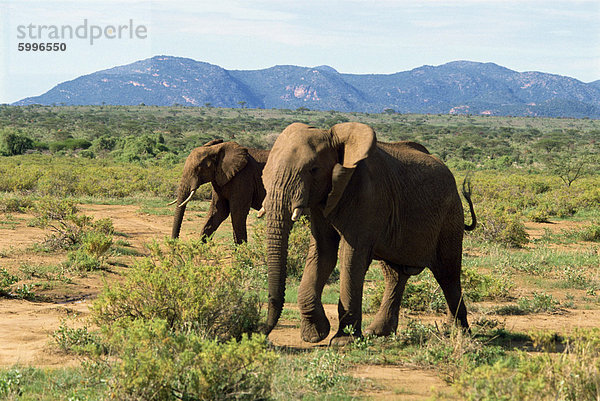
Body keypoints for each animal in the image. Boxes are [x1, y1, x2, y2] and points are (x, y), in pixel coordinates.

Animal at [260, 121, 476, 344]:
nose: (261, 331)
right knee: (395, 274)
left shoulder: (368, 196)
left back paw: (459, 333)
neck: (334, 137)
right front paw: (315, 335)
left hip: (451, 216)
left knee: (447, 273)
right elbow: (323, 252)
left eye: (313, 169)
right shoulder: (321, 201)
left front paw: (342, 341)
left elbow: (350, 257)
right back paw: (379, 332)